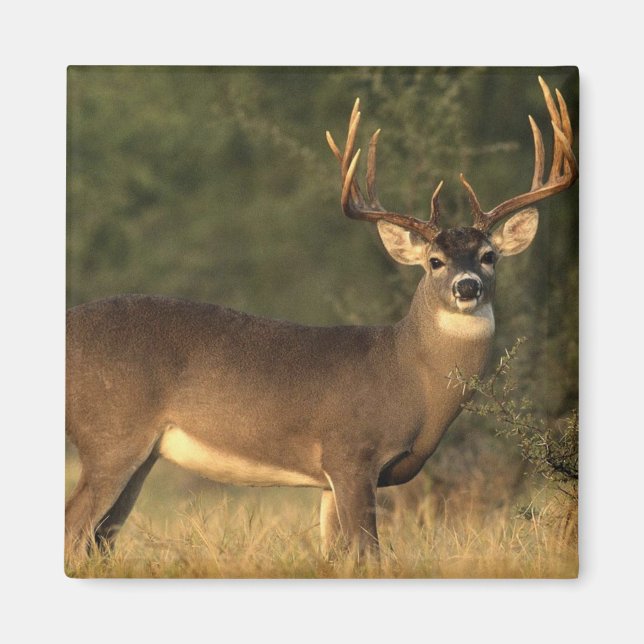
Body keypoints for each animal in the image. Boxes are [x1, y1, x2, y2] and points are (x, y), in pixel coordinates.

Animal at [65, 76, 577, 561]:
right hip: (111, 433)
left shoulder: (332, 479)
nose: (466, 286)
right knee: (75, 528)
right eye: (434, 261)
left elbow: (339, 556)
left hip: (141, 454)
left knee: (100, 539)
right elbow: (369, 555)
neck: (408, 374)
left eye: (489, 256)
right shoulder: (351, 451)